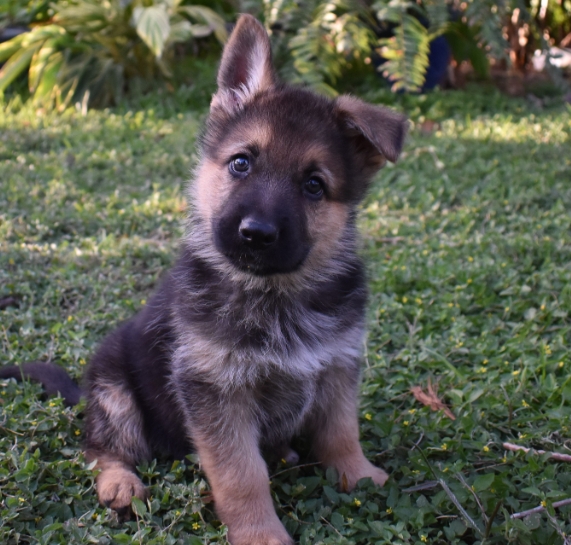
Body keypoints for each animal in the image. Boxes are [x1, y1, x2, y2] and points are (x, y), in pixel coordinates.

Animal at [5, 13, 406, 544]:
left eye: (314, 185)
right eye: (241, 162)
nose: (256, 234)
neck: (274, 295)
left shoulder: (338, 366)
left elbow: (341, 431)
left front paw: (359, 475)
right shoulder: (215, 392)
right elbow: (241, 473)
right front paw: (260, 533)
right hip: (115, 390)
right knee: (100, 447)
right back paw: (120, 483)